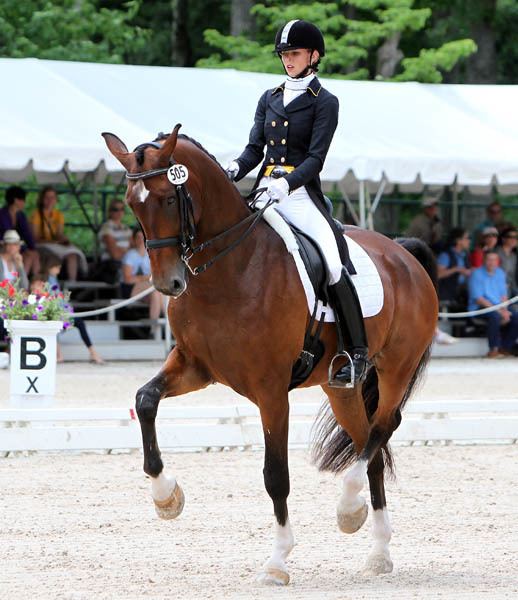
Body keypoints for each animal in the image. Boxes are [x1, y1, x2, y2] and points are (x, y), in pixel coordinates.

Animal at [103, 124, 440, 584]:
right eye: (131, 204)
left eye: (170, 198)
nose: (168, 284)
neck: (230, 269)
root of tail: (404, 253)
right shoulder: (194, 367)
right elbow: (145, 400)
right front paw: (166, 497)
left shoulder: (271, 391)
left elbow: (275, 475)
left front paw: (278, 562)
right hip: (341, 387)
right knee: (367, 443)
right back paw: (375, 548)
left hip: (396, 367)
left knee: (385, 425)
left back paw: (349, 508)